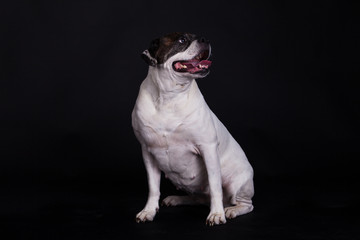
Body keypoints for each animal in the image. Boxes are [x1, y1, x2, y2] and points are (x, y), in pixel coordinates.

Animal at [131, 31, 253, 225]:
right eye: (182, 40)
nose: (205, 39)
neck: (170, 97)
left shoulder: (208, 148)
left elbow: (215, 185)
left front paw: (216, 214)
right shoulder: (147, 151)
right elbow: (153, 187)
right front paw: (149, 210)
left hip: (238, 184)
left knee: (246, 204)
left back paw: (231, 210)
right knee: (198, 198)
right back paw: (177, 199)